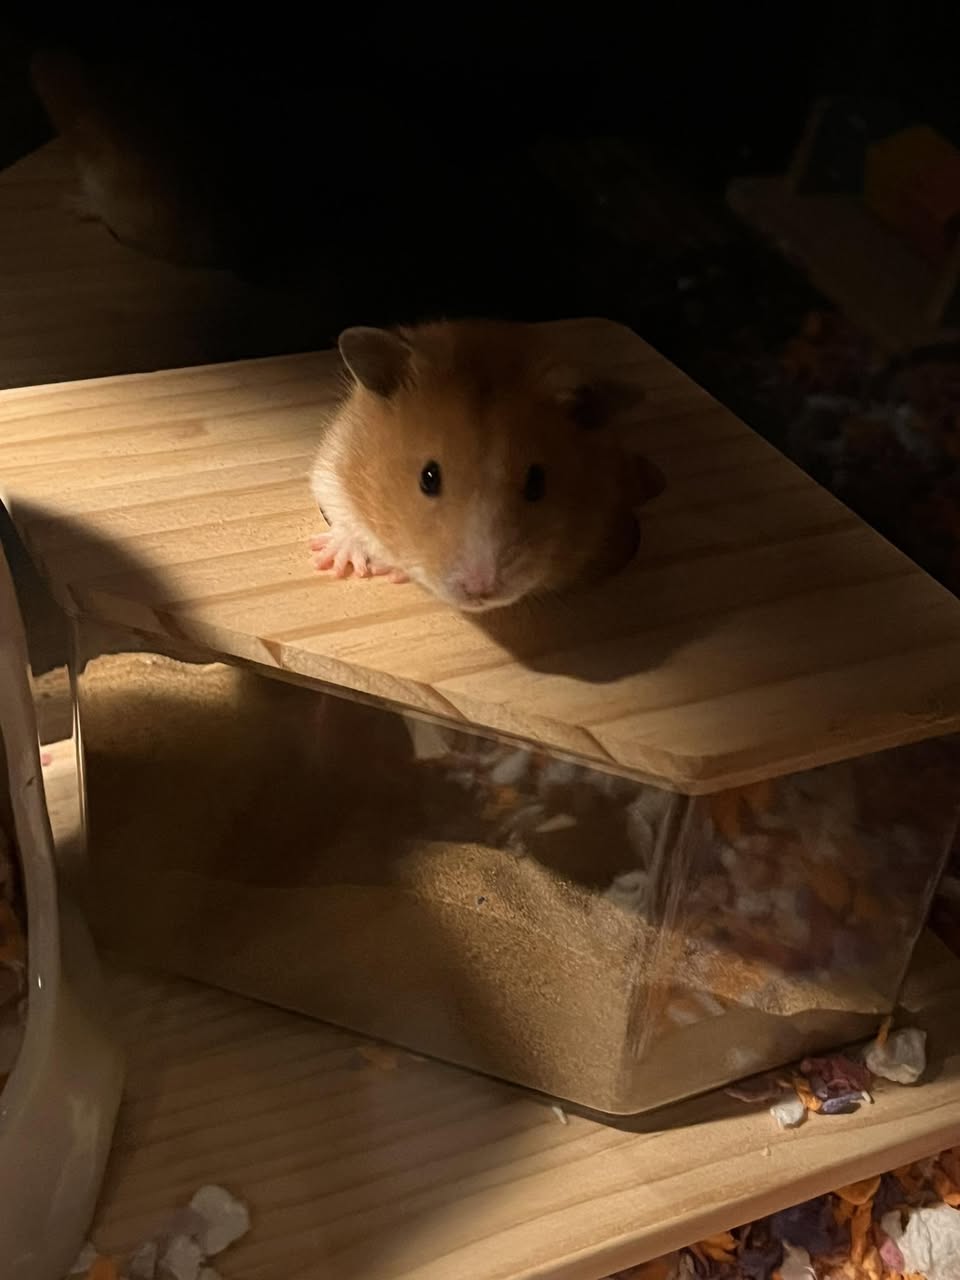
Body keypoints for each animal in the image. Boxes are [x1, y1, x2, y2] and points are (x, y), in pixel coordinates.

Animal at [309, 320, 659, 612]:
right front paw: (336, 563)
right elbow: (345, 516)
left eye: (537, 483)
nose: (480, 591)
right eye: (428, 477)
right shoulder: (333, 463)